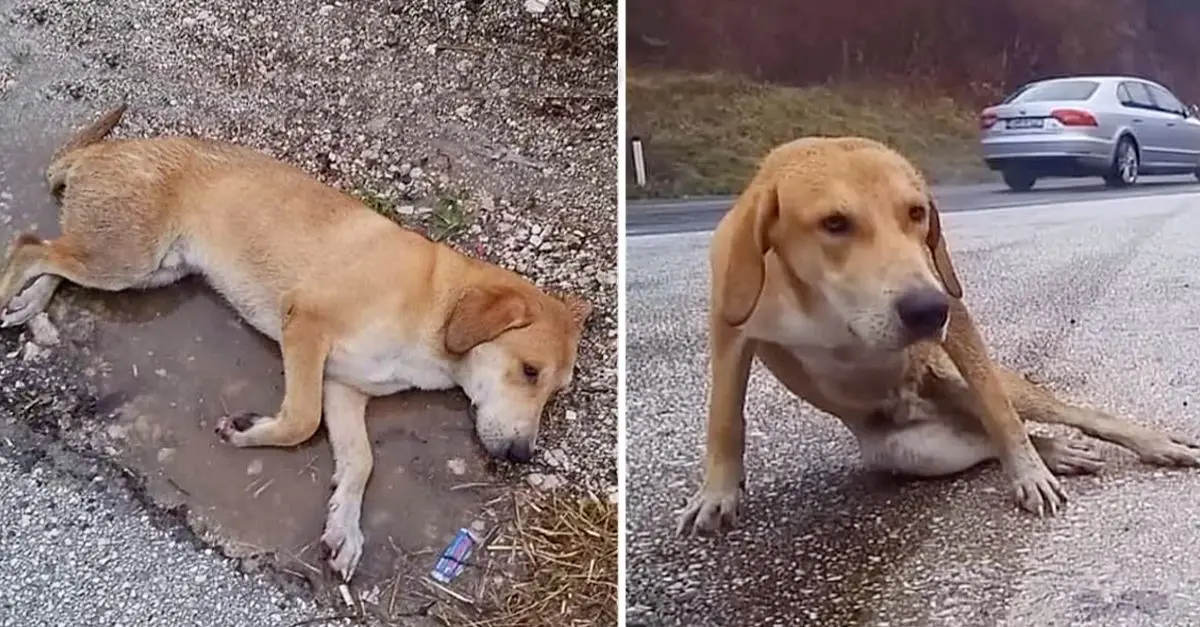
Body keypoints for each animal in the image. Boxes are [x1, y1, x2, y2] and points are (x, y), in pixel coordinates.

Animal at [0, 105, 590, 578]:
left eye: (554, 392)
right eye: (530, 371)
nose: (521, 456)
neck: (434, 304)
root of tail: (100, 150)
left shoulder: (345, 390)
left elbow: (360, 463)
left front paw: (345, 528)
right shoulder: (306, 327)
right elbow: (302, 421)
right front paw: (250, 432)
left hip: (138, 268)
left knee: (55, 259)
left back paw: (30, 302)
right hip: (128, 258)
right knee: (29, 246)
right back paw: (11, 292)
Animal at [681, 135, 1195, 530]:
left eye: (916, 213)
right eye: (834, 223)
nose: (928, 310)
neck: (822, 301)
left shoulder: (955, 316)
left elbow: (1002, 414)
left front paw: (1028, 473)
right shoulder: (729, 330)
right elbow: (724, 416)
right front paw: (718, 494)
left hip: (957, 378)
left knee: (1055, 414)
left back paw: (1143, 445)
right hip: (911, 451)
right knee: (982, 439)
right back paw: (1057, 451)